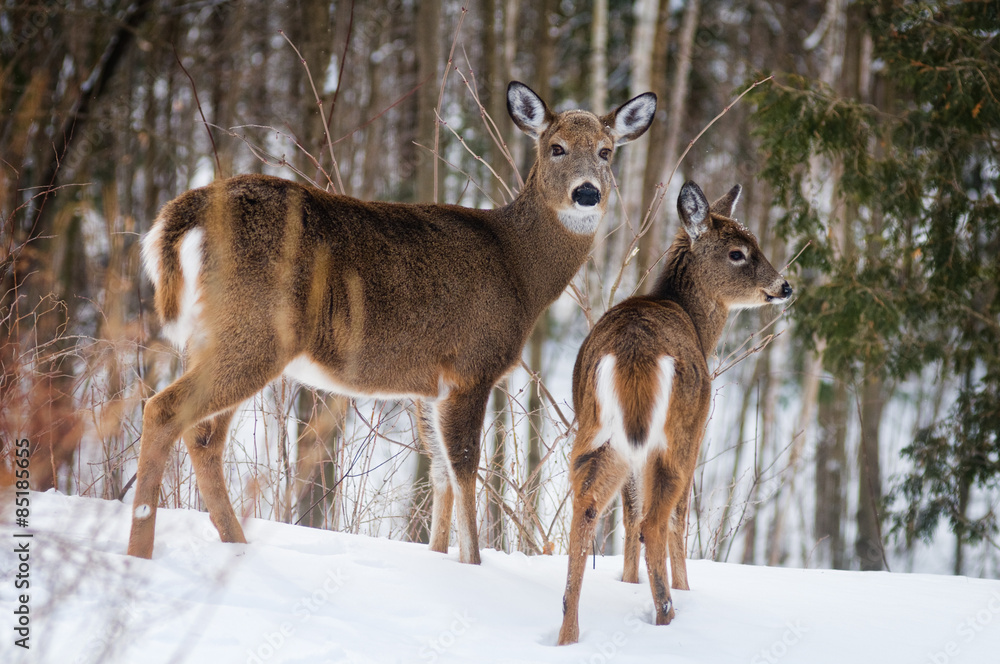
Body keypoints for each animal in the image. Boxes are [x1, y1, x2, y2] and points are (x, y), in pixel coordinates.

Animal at [127, 81, 657, 563]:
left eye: (607, 152)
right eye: (556, 147)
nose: (586, 192)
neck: (521, 271)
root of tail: (184, 214)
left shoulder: (429, 387)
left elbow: (440, 474)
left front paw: (438, 556)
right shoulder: (472, 366)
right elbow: (465, 470)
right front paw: (473, 565)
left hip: (221, 335)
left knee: (202, 437)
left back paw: (235, 546)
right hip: (256, 331)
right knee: (163, 410)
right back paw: (140, 551)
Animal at [557, 180, 793, 645]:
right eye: (739, 252)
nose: (784, 286)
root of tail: (632, 354)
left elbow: (629, 511)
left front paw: (628, 581)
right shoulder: (699, 431)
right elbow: (676, 518)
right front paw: (685, 586)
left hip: (597, 432)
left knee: (588, 508)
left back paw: (568, 634)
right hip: (675, 434)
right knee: (656, 521)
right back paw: (668, 613)